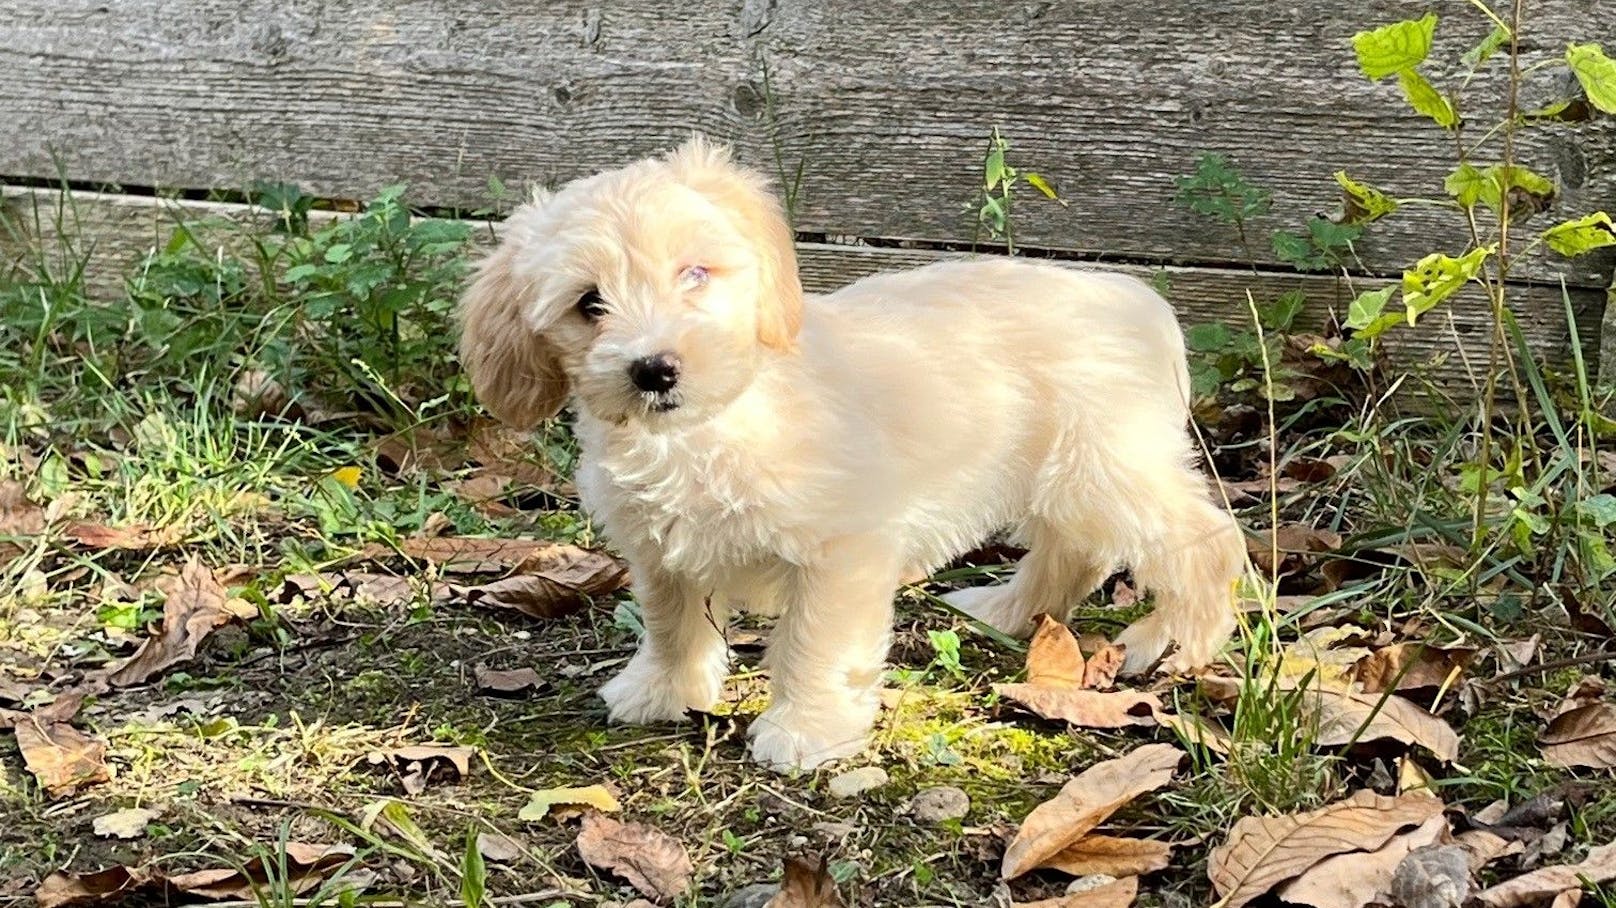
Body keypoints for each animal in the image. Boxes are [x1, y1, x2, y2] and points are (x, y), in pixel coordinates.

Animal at [462, 138, 1241, 765]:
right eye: (588, 303)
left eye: (695, 274)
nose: (654, 369)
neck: (713, 428)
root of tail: (1134, 296)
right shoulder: (660, 552)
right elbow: (672, 622)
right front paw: (661, 690)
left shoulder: (842, 554)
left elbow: (817, 644)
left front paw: (805, 730)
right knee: (1075, 551)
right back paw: (1007, 608)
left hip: (1108, 469)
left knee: (1206, 541)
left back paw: (1172, 642)